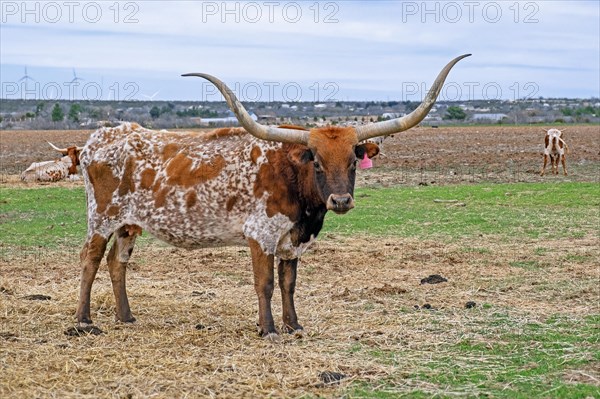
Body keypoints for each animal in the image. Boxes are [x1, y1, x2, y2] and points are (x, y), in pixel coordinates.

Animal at [74, 54, 468, 340]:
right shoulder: (260, 235)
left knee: (118, 263)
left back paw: (126, 317)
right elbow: (264, 284)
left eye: (354, 160)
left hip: (128, 224)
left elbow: (288, 283)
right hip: (102, 217)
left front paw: (294, 325)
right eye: (317, 162)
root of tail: (100, 138)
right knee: (91, 260)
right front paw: (268, 329)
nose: (341, 201)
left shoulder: (293, 239)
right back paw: (84, 320)